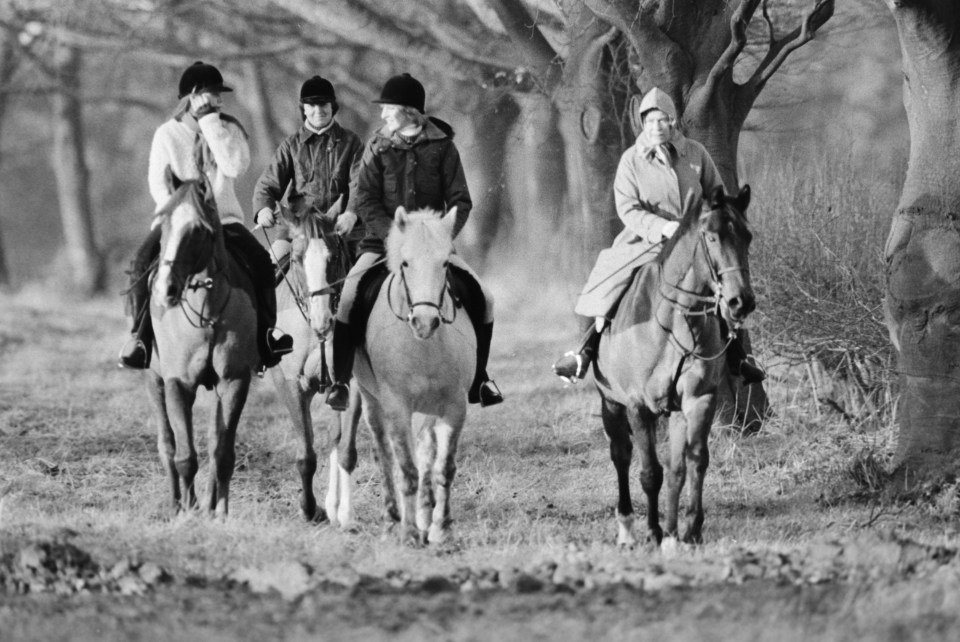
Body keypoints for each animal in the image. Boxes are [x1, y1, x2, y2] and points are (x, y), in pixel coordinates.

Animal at [146, 170, 258, 516]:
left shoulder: (234, 381)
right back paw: (174, 504)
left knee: (212, 441)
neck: (206, 313)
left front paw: (218, 512)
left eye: (197, 230)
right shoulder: (177, 383)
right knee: (167, 443)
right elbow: (184, 456)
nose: (165, 290)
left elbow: (222, 453)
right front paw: (187, 511)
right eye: (163, 222)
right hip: (154, 379)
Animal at [270, 199, 364, 524]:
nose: (322, 320)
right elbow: (307, 456)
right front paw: (310, 510)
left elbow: (345, 447)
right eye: (298, 259)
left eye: (332, 256)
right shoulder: (292, 386)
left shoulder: (352, 383)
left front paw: (345, 514)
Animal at [592, 184, 756, 544]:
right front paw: (654, 532)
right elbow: (650, 472)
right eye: (711, 236)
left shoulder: (698, 400)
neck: (676, 320)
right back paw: (627, 528)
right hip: (611, 402)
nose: (741, 302)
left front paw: (687, 530)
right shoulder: (638, 406)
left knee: (675, 466)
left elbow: (692, 463)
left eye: (748, 236)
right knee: (621, 455)